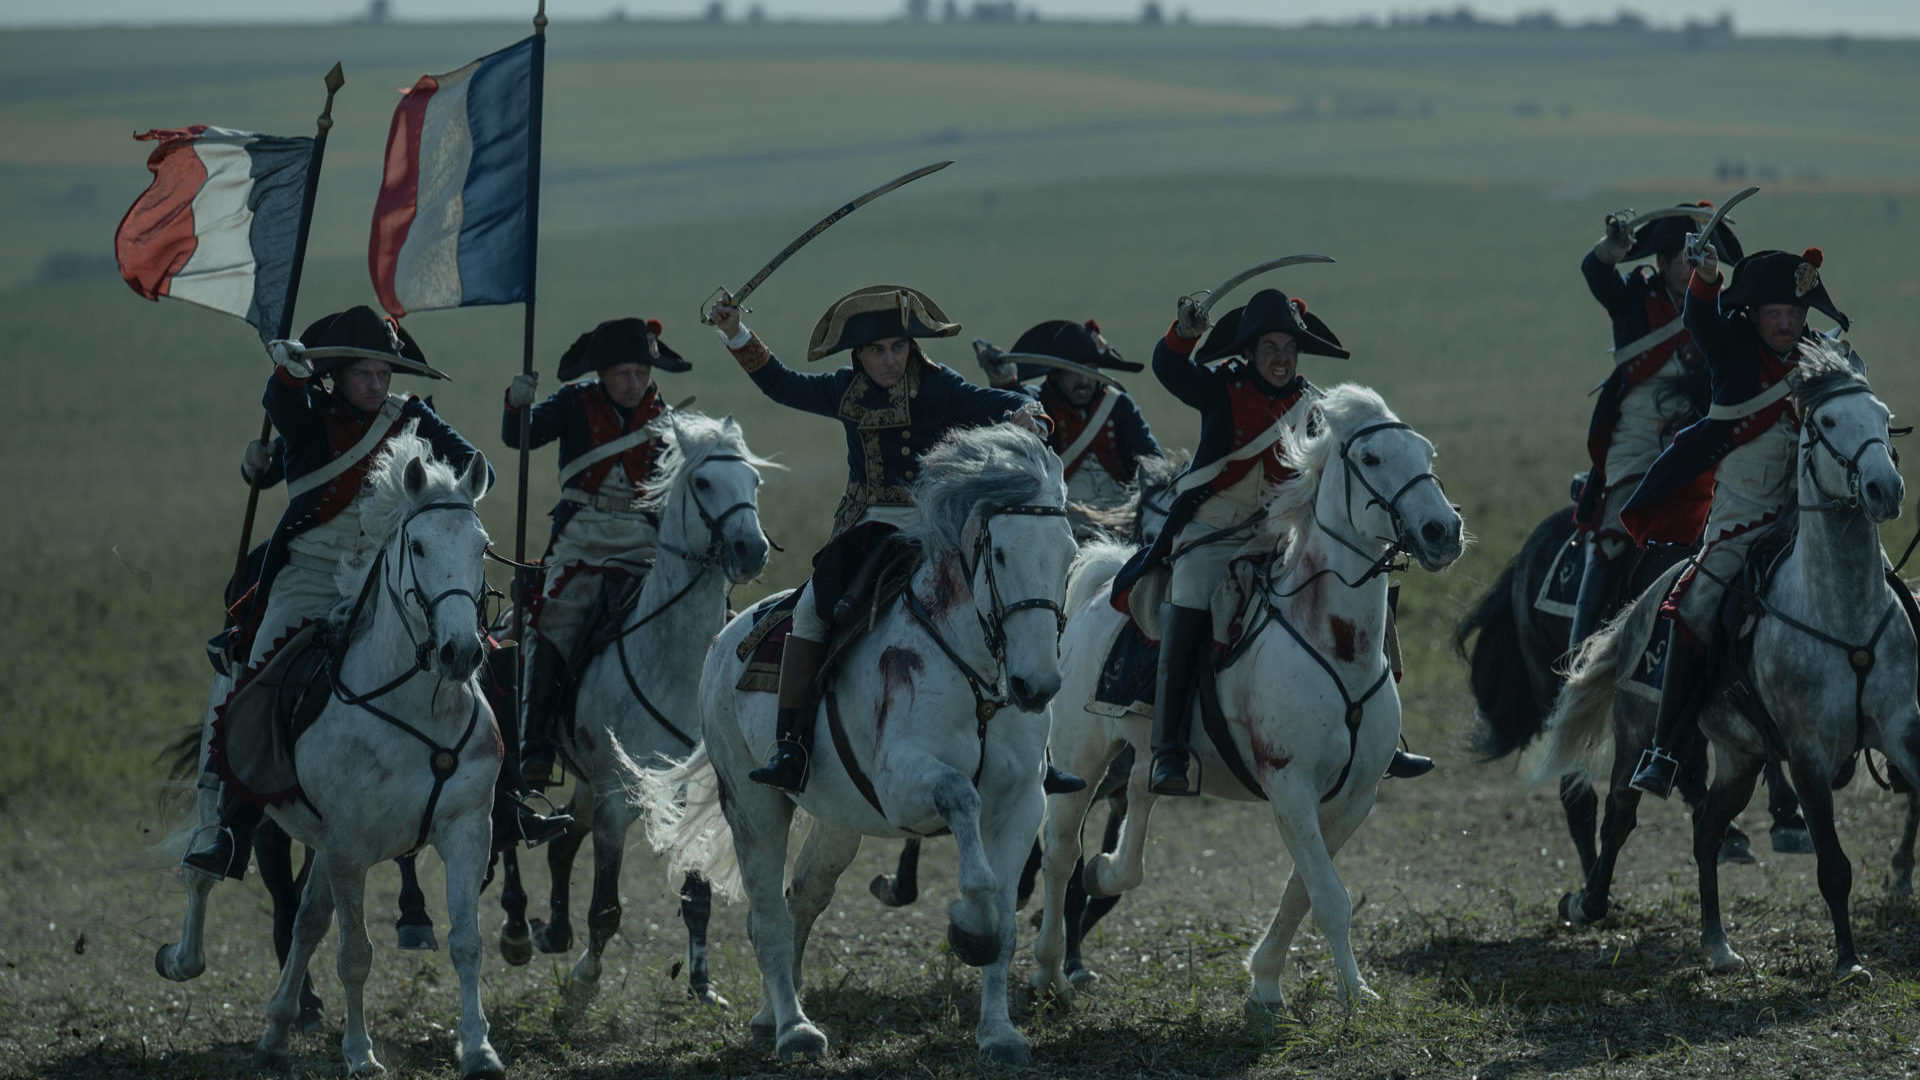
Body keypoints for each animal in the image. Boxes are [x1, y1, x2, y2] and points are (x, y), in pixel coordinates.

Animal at [499, 411, 775, 1006]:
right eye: (702, 482)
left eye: (753, 482)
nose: (751, 549)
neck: (671, 661)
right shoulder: (615, 798)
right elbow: (605, 905)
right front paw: (586, 977)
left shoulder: (689, 793)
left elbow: (698, 897)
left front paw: (702, 984)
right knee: (509, 830)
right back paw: (516, 931)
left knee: (562, 841)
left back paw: (553, 931)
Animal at [648, 422, 1082, 1060]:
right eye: (1000, 553)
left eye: (1069, 554)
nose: (1038, 685)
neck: (974, 672)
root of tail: (724, 640)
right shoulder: (902, 786)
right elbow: (962, 802)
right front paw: (967, 929)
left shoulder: (1023, 801)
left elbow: (1004, 915)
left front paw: (1000, 1033)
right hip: (753, 805)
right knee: (767, 917)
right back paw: (794, 1029)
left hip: (837, 822)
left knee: (802, 898)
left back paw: (771, 1013)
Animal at [1036, 386, 1451, 1014]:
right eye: (1372, 458)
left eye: (1425, 452)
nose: (1442, 530)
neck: (1333, 643)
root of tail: (1095, 593)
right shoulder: (1290, 785)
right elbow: (1329, 896)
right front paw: (1353, 992)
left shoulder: (1355, 796)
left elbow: (1302, 891)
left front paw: (1267, 982)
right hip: (1077, 760)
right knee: (1060, 853)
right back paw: (1050, 974)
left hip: (1147, 749)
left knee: (1139, 795)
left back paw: (1108, 874)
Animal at [1536, 342, 1920, 976]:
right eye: (1828, 421)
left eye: (1884, 417)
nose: (1885, 488)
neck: (1843, 615)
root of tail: (1646, 602)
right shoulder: (1809, 757)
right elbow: (1833, 865)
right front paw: (1847, 960)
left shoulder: (1901, 731)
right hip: (1638, 734)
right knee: (1620, 814)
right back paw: (1589, 902)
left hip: (1741, 758)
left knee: (1707, 829)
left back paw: (1716, 943)